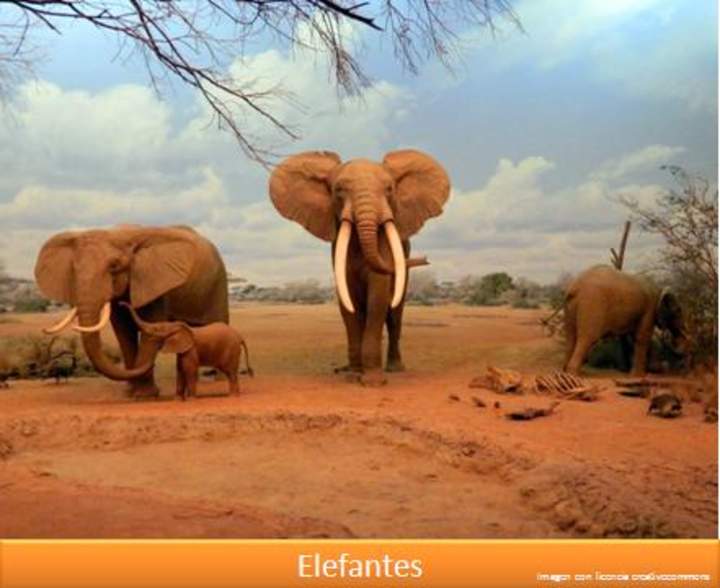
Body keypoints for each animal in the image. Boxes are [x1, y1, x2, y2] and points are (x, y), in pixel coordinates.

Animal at [34, 225, 229, 396]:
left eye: (114, 266)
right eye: (73, 269)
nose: (126, 305)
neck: (122, 235)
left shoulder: (154, 282)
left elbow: (150, 329)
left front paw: (144, 395)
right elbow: (124, 333)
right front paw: (130, 393)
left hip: (219, 281)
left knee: (219, 322)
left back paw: (221, 380)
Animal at [121, 302, 253, 399]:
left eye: (157, 329)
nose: (121, 303)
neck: (175, 326)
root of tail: (239, 336)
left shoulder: (191, 349)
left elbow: (189, 370)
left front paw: (190, 399)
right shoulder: (183, 349)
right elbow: (180, 370)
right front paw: (178, 400)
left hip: (231, 349)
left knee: (230, 372)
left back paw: (232, 396)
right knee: (231, 373)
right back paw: (235, 395)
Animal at [269, 149, 450, 386]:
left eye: (389, 189)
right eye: (338, 190)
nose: (427, 259)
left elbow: (377, 298)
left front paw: (373, 381)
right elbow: (348, 304)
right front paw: (354, 375)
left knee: (394, 316)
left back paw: (394, 369)